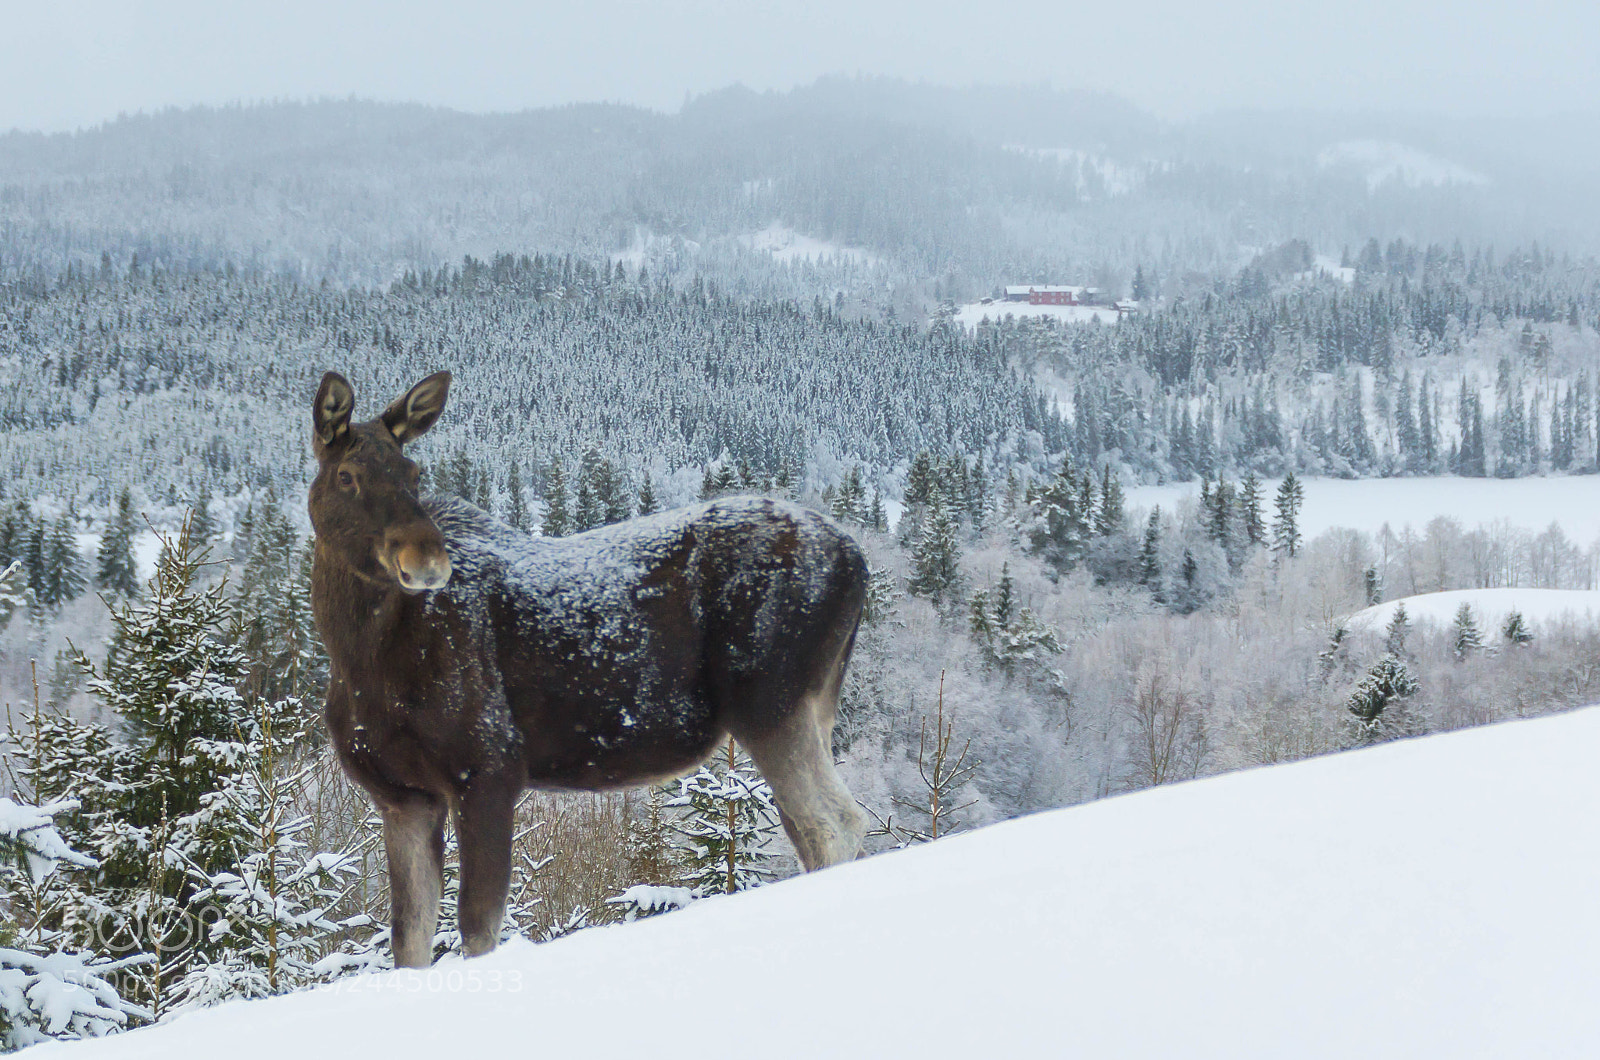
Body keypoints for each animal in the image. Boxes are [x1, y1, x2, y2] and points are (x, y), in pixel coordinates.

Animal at [308, 370, 869, 967]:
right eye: (346, 475)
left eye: (413, 473)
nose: (428, 559)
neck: (360, 659)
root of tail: (856, 557)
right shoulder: (402, 798)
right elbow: (408, 940)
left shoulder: (489, 769)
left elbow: (477, 930)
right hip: (813, 705)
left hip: (769, 702)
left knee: (834, 821)